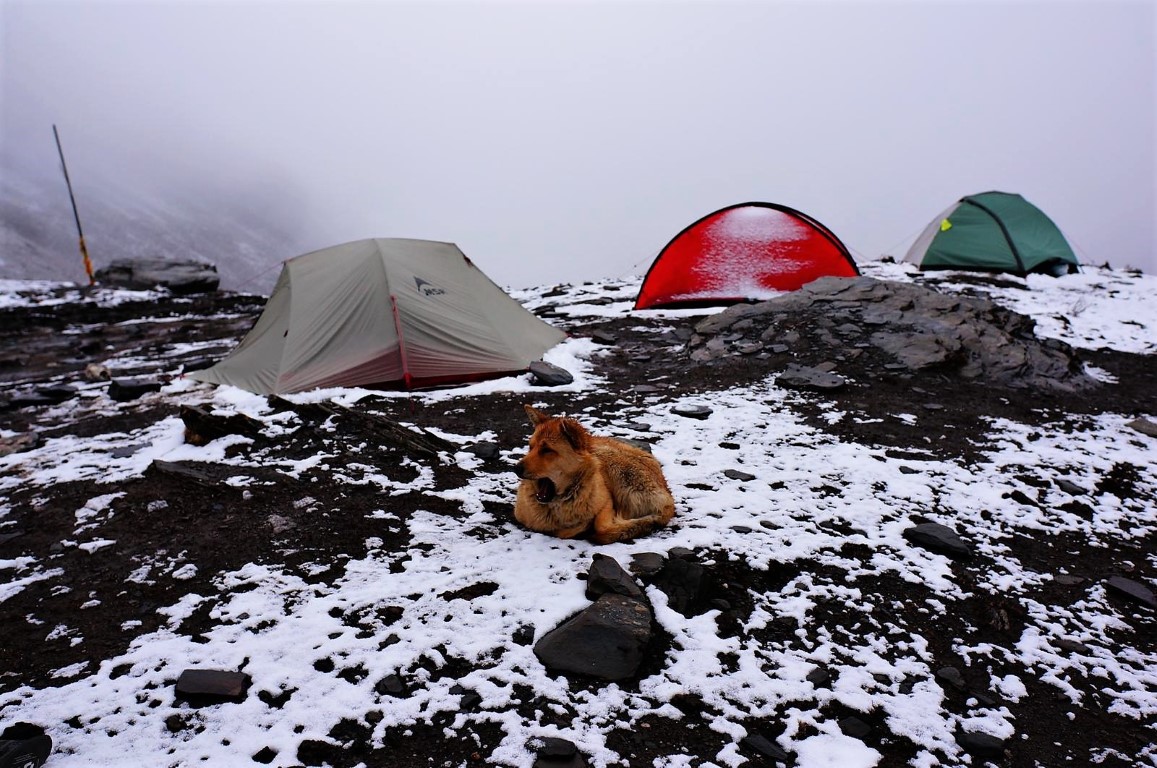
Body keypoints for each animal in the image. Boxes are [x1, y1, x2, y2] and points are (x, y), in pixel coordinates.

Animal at [516, 404, 675, 543]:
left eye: (547, 450)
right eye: (530, 447)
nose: (516, 469)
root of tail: (668, 496)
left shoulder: (608, 502)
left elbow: (599, 526)